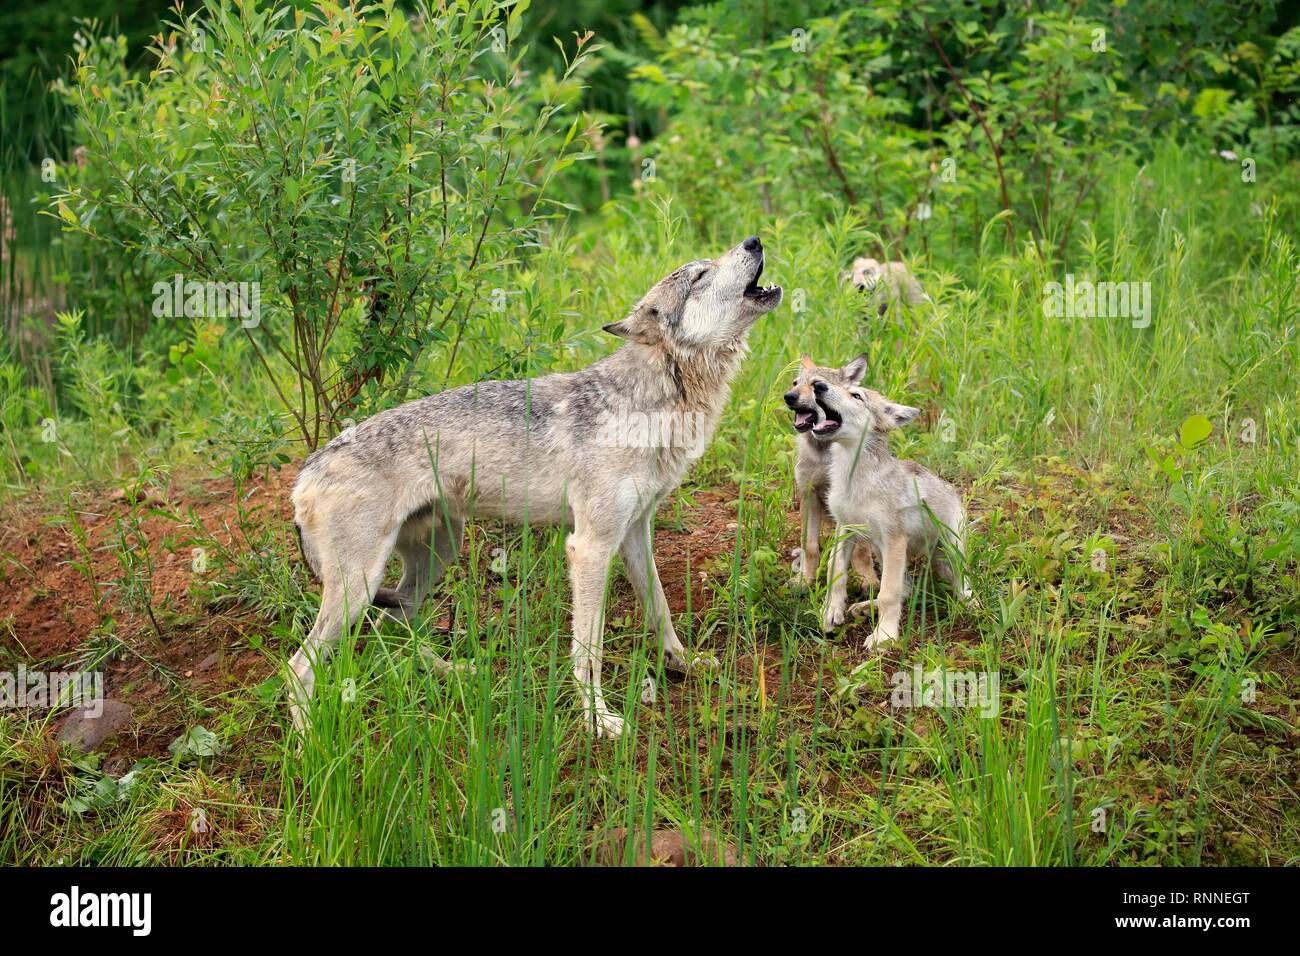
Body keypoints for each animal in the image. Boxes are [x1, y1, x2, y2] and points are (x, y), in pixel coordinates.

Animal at [288, 237, 782, 739]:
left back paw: (450, 670)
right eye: (700, 275)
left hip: (436, 555)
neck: (652, 400)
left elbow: (659, 607)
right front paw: (598, 718)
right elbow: (589, 650)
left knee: (392, 624)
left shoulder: (634, 534)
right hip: (360, 585)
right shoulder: (589, 548)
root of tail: (307, 470)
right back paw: (311, 743)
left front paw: (682, 664)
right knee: (299, 666)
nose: (754, 240)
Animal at [782, 354, 877, 593]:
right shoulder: (809, 495)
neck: (825, 455)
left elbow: (861, 551)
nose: (789, 397)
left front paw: (867, 580)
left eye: (817, 385)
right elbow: (810, 546)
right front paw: (805, 579)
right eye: (795, 383)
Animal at [808, 373, 972, 648]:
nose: (817, 385)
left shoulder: (895, 540)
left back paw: (971, 605)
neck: (853, 476)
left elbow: (889, 593)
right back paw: (865, 607)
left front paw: (884, 636)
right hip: (882, 549)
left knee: (962, 582)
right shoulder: (845, 529)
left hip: (947, 551)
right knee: (907, 588)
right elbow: (836, 572)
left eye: (856, 395)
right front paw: (831, 612)